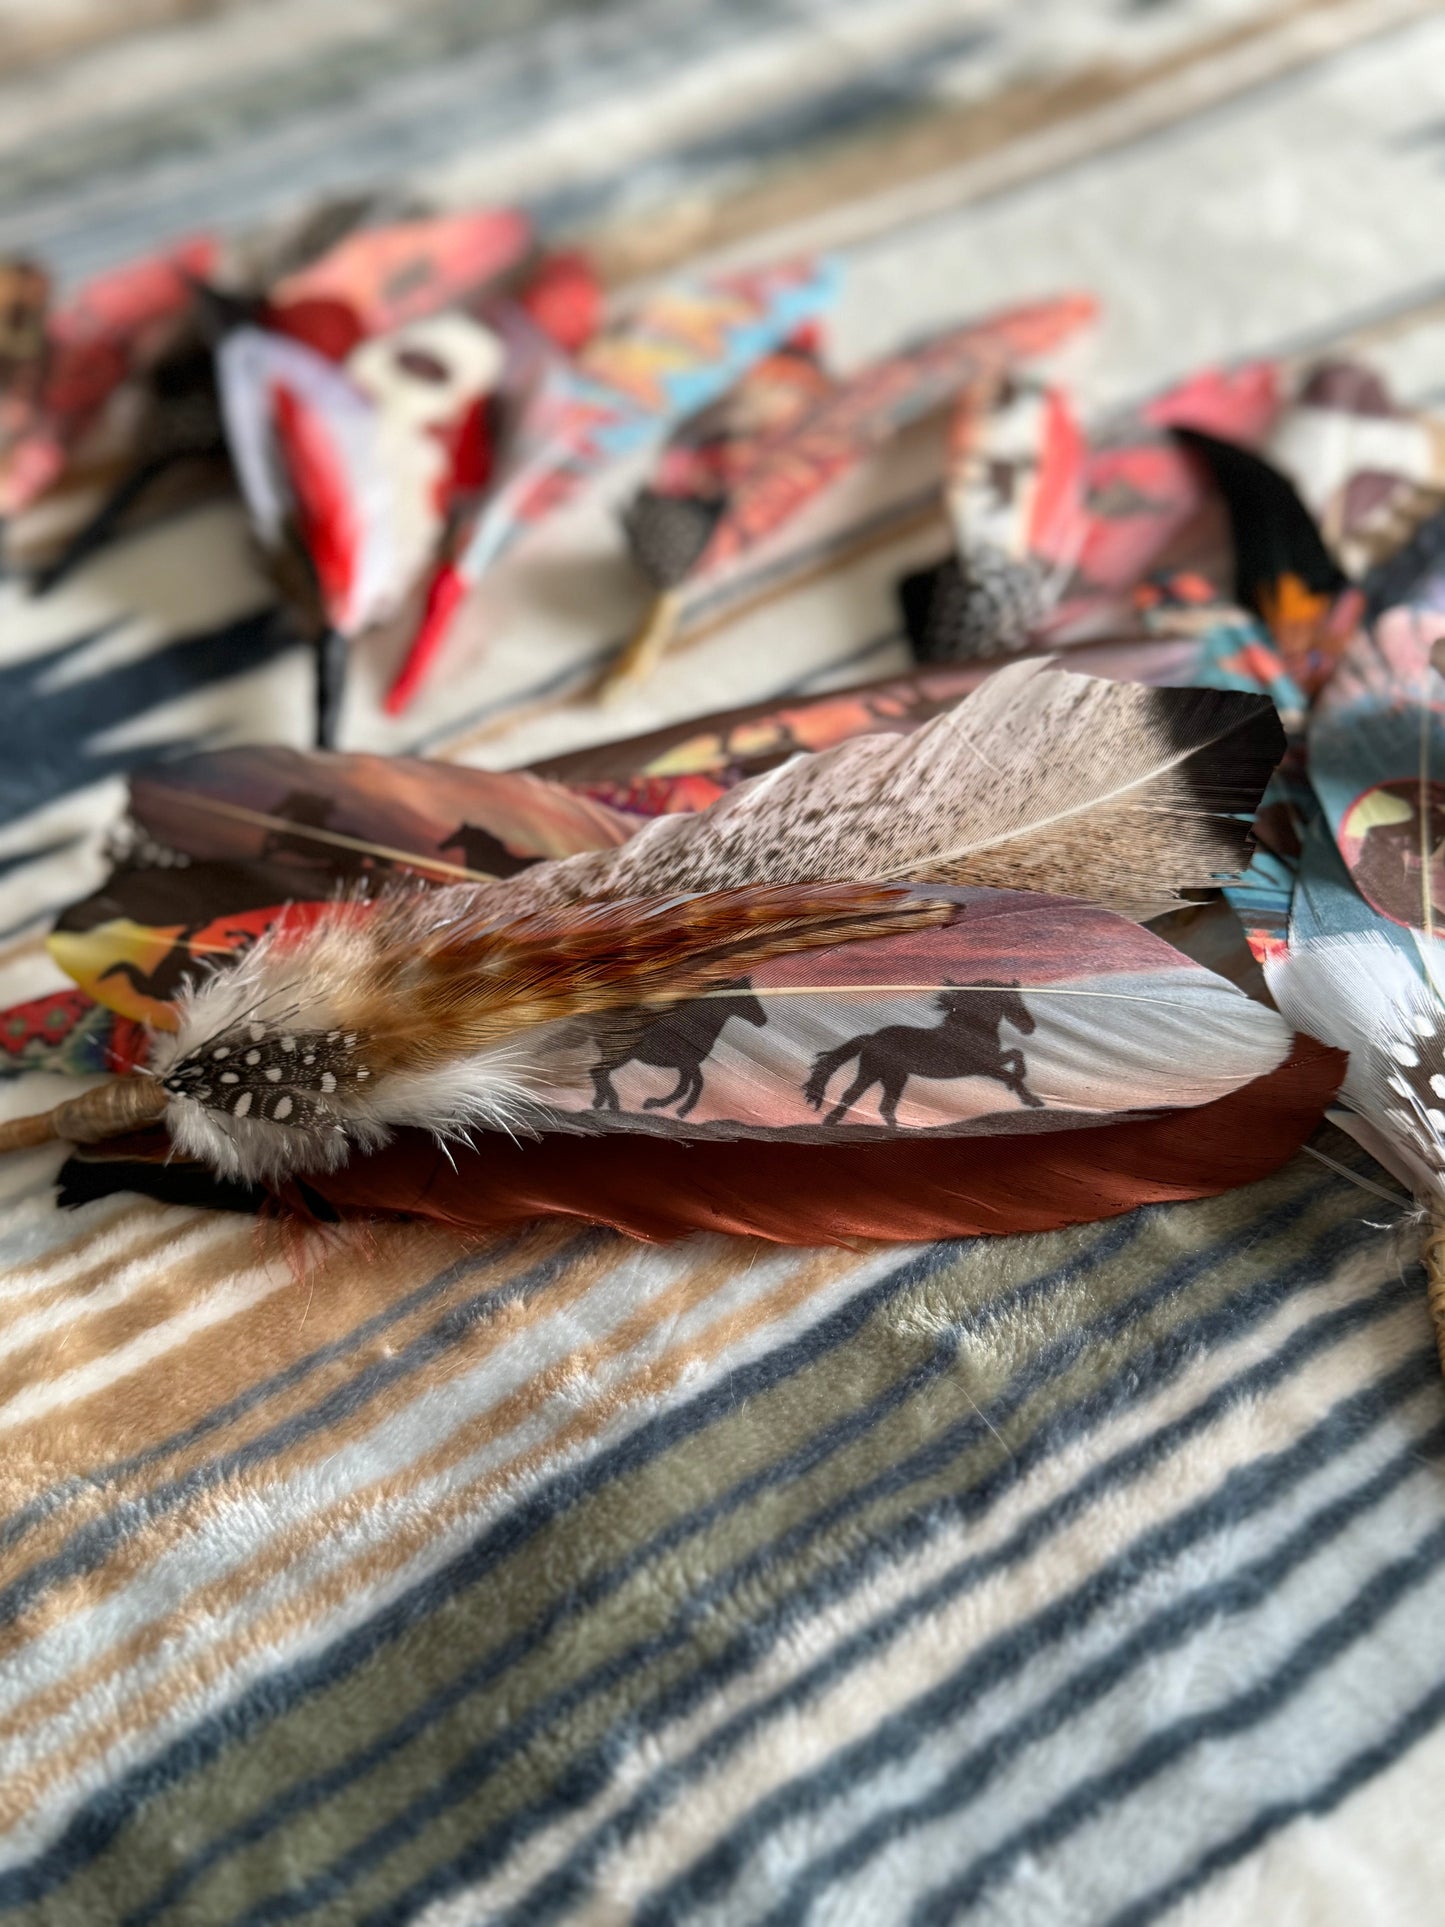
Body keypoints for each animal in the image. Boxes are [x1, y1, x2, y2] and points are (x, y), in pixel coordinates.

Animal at [591, 982, 767, 1119]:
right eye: (748, 999)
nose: (763, 1020)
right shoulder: (689, 1063)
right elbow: (696, 1084)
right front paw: (682, 1110)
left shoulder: (686, 1065)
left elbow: (684, 1087)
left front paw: (654, 1104)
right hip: (620, 1055)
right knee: (598, 1071)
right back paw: (611, 1103)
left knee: (600, 1073)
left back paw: (602, 1102)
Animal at [803, 979, 1042, 1128]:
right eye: (1014, 1001)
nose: (1029, 1027)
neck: (970, 1028)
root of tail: (871, 1038)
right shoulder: (983, 1067)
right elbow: (1011, 1069)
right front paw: (1031, 1099)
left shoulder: (991, 1061)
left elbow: (1016, 1054)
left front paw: (1021, 1085)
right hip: (879, 1073)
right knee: (858, 1098)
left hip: (887, 1076)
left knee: (876, 1104)